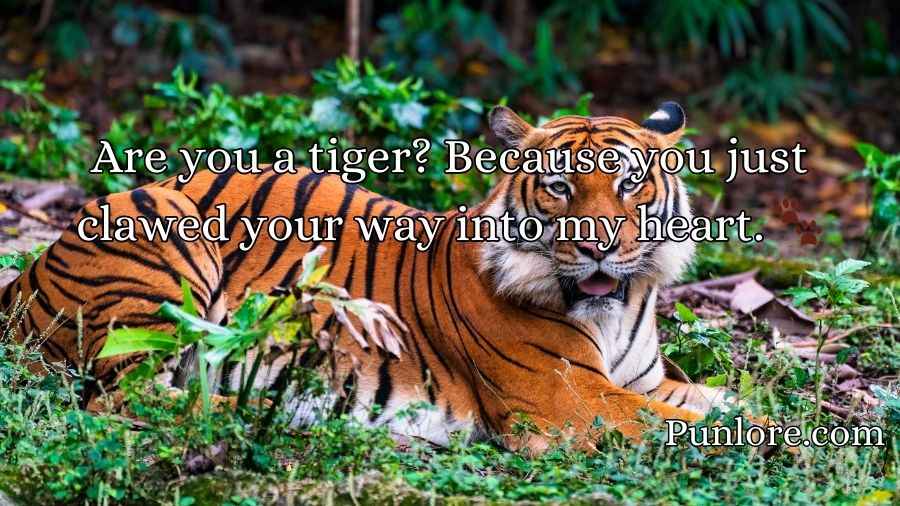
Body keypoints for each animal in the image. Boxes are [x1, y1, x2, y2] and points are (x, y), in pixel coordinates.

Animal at [0, 102, 733, 452]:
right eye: (559, 187)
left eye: (629, 184)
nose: (598, 247)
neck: (617, 307)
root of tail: (26, 274)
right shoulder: (570, 400)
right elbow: (701, 428)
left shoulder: (643, 384)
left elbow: (720, 405)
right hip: (162, 233)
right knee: (133, 399)